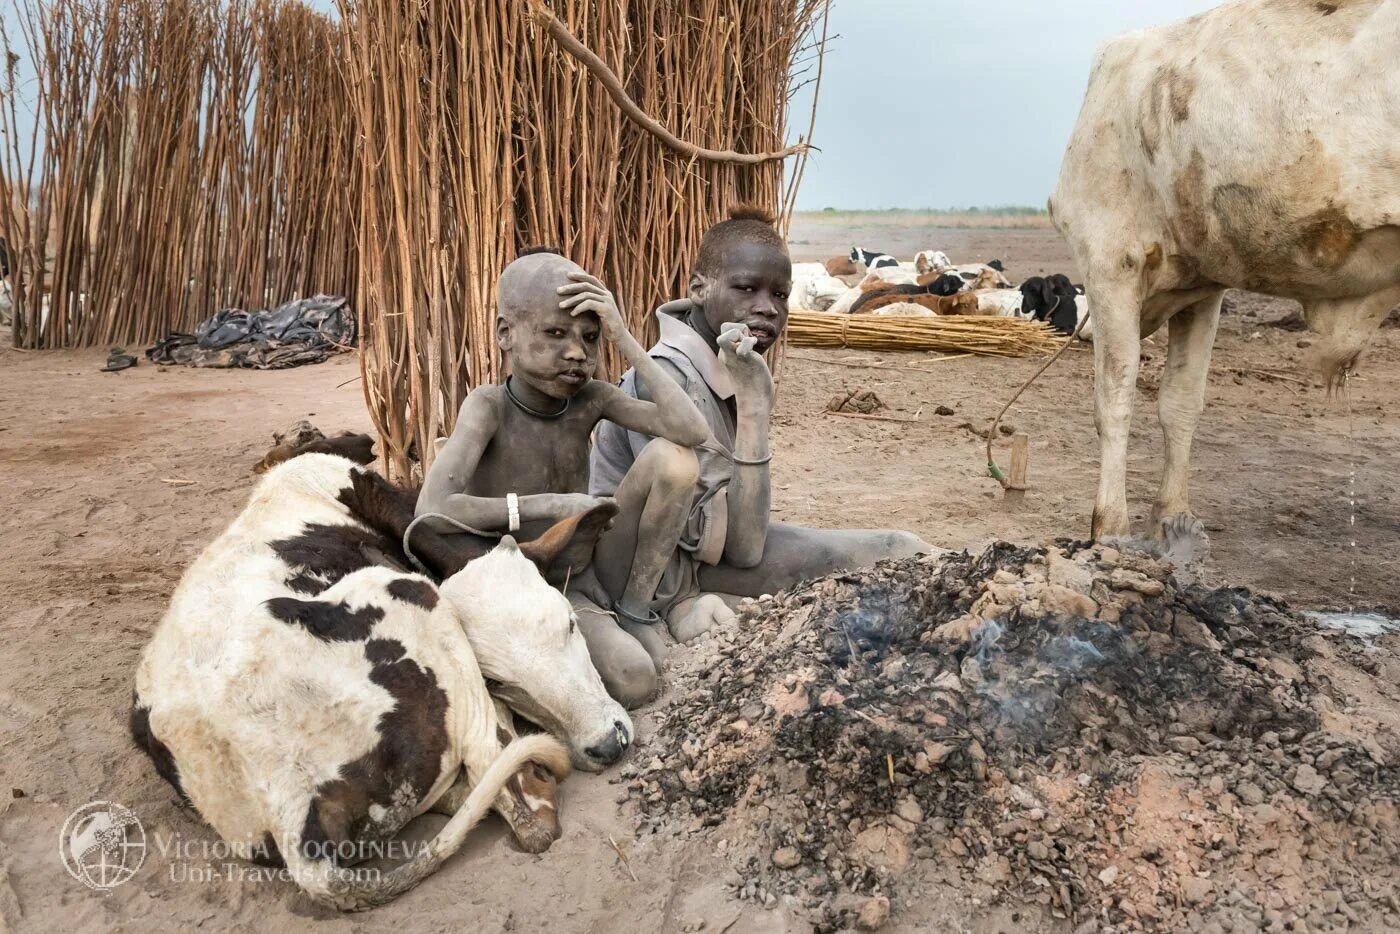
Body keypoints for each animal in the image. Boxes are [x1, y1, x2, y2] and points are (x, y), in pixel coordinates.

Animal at [132, 453, 630, 912]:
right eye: (499, 680)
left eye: (569, 624)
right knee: (509, 789)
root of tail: (287, 816)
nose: (608, 744)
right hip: (413, 595)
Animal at [1052, 0, 1400, 540]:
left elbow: (1122, 399)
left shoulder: (1113, 260)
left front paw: (1116, 526)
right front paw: (1162, 522)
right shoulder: (1192, 280)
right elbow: (1172, 402)